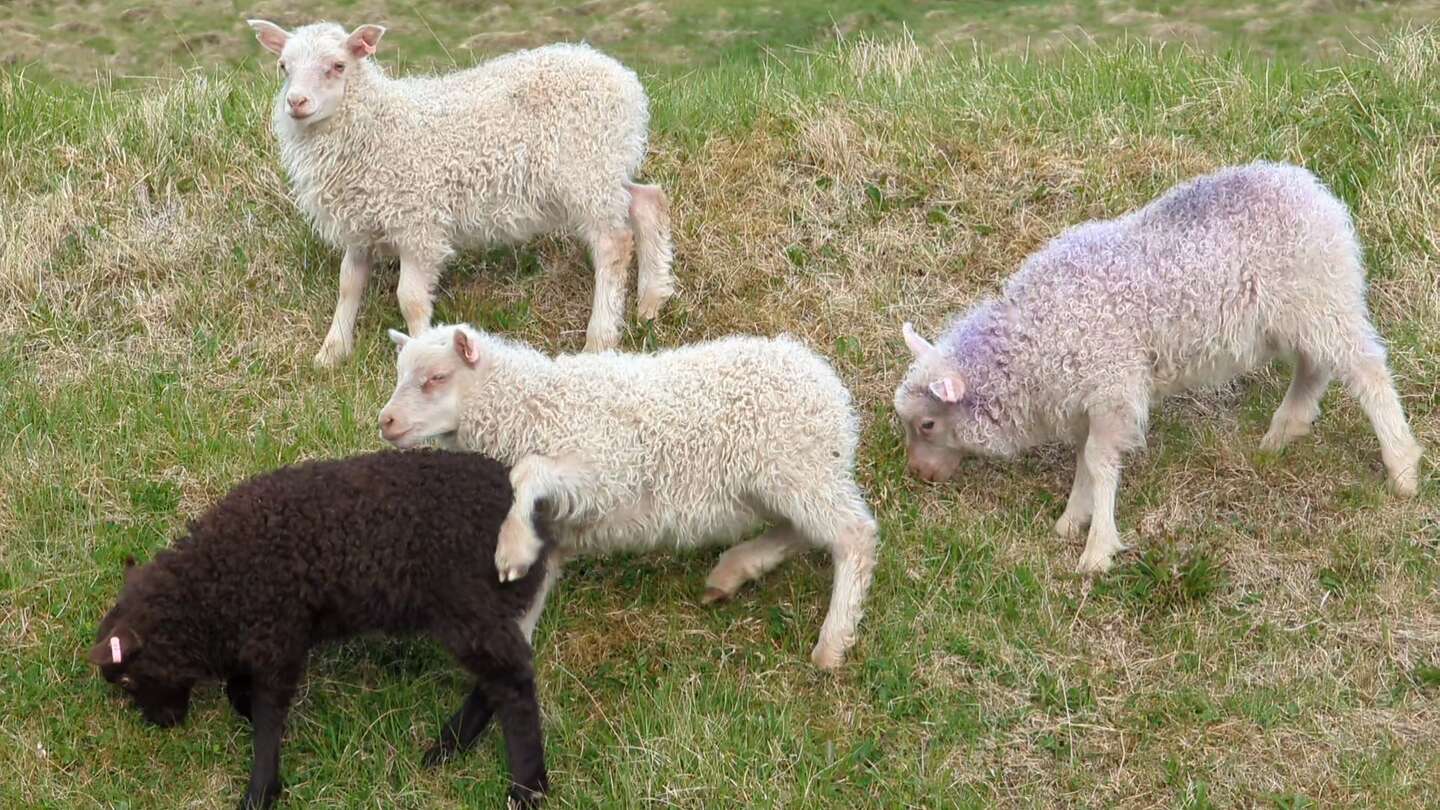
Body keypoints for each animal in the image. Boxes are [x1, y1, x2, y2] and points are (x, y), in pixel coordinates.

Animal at [87, 446, 552, 807]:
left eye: (127, 679)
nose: (160, 724)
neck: (214, 584)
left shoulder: (279, 637)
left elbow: (268, 716)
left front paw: (260, 791)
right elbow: (240, 690)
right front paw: (245, 713)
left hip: (467, 604)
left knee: (514, 683)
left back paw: (527, 787)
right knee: (500, 678)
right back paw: (450, 746)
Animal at [246, 17, 673, 364]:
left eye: (337, 66)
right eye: (283, 67)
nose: (296, 102)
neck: (376, 126)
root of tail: (623, 78)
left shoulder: (417, 222)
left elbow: (411, 300)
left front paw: (421, 353)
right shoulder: (360, 223)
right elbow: (348, 285)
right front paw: (331, 353)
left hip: (586, 167)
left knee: (613, 243)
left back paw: (599, 338)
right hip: (604, 169)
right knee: (646, 200)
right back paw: (651, 302)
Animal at [377, 322, 881, 668]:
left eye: (436, 378)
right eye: (400, 373)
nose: (386, 421)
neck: (532, 405)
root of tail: (823, 378)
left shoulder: (601, 472)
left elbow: (528, 471)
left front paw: (511, 549)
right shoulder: (557, 529)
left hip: (798, 468)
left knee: (853, 535)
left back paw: (832, 643)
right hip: (781, 481)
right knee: (801, 530)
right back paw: (733, 572)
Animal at [892, 160, 1422, 570]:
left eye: (927, 424)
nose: (918, 475)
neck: (1035, 338)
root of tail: (1309, 187)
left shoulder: (1112, 386)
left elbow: (1100, 464)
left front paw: (1097, 550)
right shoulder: (1089, 401)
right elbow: (1086, 461)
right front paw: (1072, 520)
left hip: (1322, 296)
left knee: (1367, 371)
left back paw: (1401, 466)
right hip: (1297, 313)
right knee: (1315, 366)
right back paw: (1283, 432)